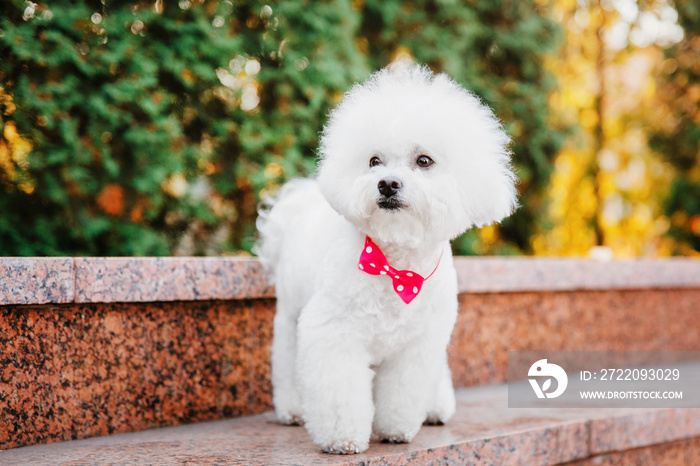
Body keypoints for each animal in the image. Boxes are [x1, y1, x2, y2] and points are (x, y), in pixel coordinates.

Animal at [254, 63, 516, 454]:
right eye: (374, 161)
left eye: (424, 161)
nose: (388, 183)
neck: (396, 265)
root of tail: (297, 201)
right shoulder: (334, 332)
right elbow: (340, 393)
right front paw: (342, 439)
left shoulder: (418, 345)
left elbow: (403, 392)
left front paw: (397, 429)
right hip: (290, 314)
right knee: (286, 360)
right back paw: (293, 409)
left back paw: (436, 406)